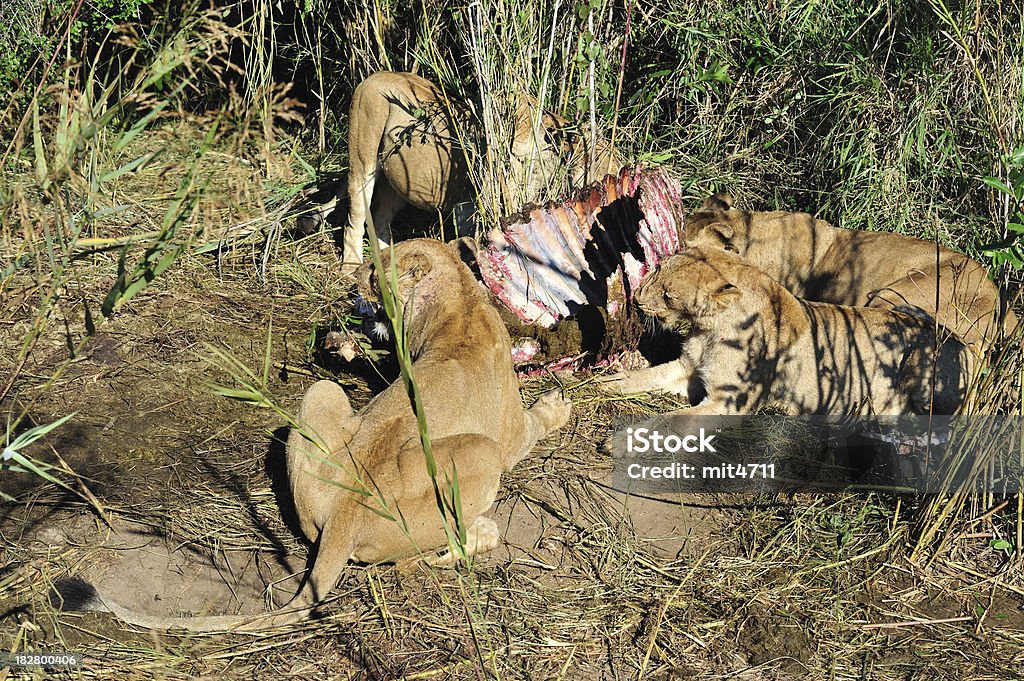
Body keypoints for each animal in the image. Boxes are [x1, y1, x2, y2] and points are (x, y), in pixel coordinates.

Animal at [54, 238, 569, 630]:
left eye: (373, 273)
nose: (351, 282)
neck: (458, 295)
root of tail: (345, 514)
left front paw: (347, 347)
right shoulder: (510, 435)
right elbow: (536, 424)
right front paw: (558, 405)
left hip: (321, 396)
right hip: (482, 455)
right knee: (418, 560)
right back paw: (484, 531)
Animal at [309, 72, 614, 274]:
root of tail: (371, 77)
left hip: (398, 180)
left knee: (381, 218)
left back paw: (388, 262)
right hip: (363, 156)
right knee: (355, 217)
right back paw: (351, 267)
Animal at [602, 245, 970, 413]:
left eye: (667, 295)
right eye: (657, 268)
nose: (637, 299)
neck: (707, 330)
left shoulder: (727, 401)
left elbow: (672, 423)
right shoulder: (687, 369)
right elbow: (641, 378)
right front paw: (601, 383)